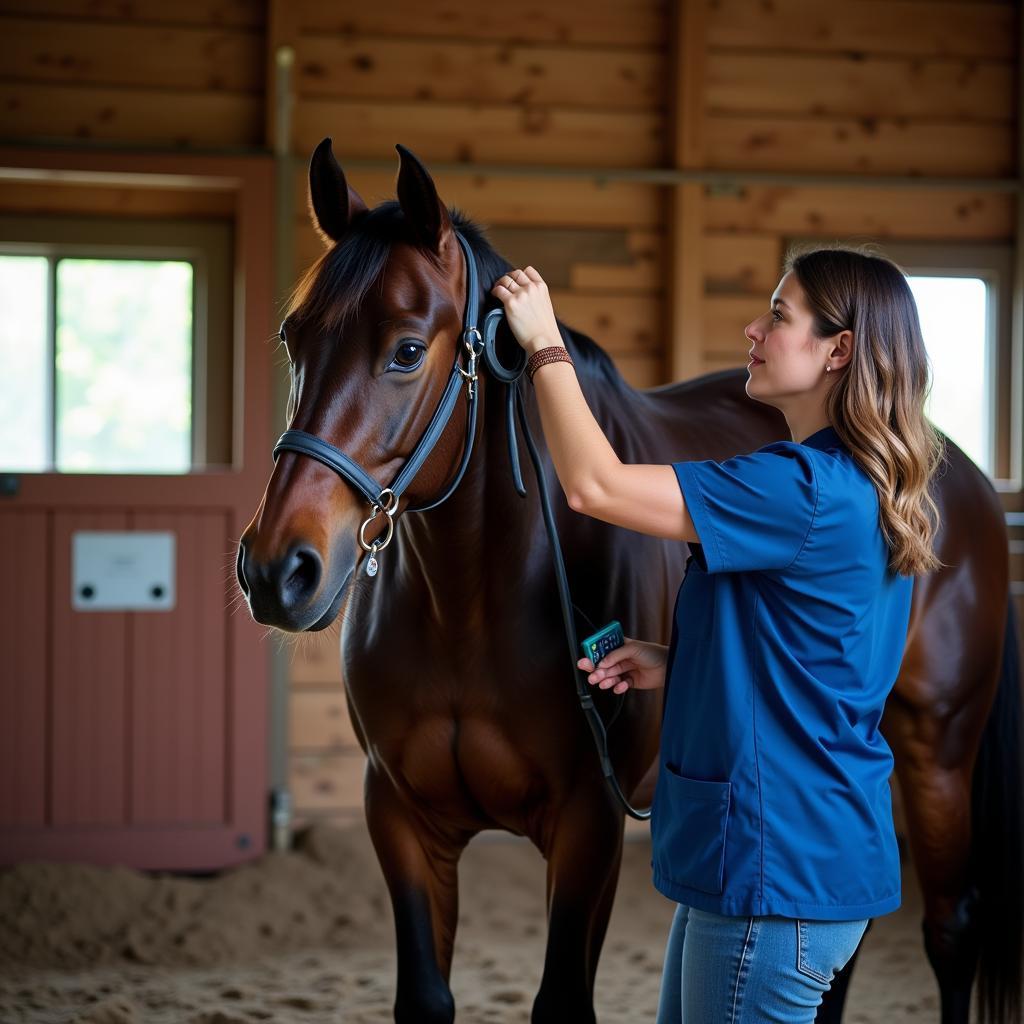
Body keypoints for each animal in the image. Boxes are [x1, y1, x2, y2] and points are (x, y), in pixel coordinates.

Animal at [235, 138, 1019, 1024]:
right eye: (294, 339)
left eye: (405, 350)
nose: (277, 570)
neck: (470, 602)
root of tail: (954, 467)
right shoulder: (399, 816)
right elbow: (426, 998)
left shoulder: (590, 824)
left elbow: (562, 999)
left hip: (939, 752)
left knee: (949, 925)